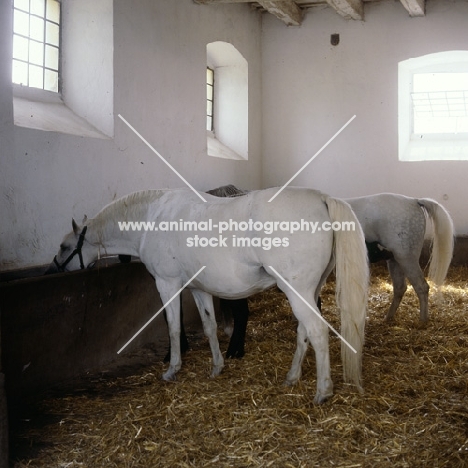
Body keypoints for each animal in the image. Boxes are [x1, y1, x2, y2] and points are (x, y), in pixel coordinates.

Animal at [48, 186, 370, 402]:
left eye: (65, 247)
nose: (52, 269)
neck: (153, 216)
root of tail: (321, 198)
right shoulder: (198, 288)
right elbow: (209, 326)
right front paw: (217, 367)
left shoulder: (167, 284)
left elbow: (173, 327)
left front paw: (172, 369)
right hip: (307, 291)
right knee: (304, 330)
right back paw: (292, 378)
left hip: (296, 290)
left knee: (317, 331)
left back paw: (322, 391)